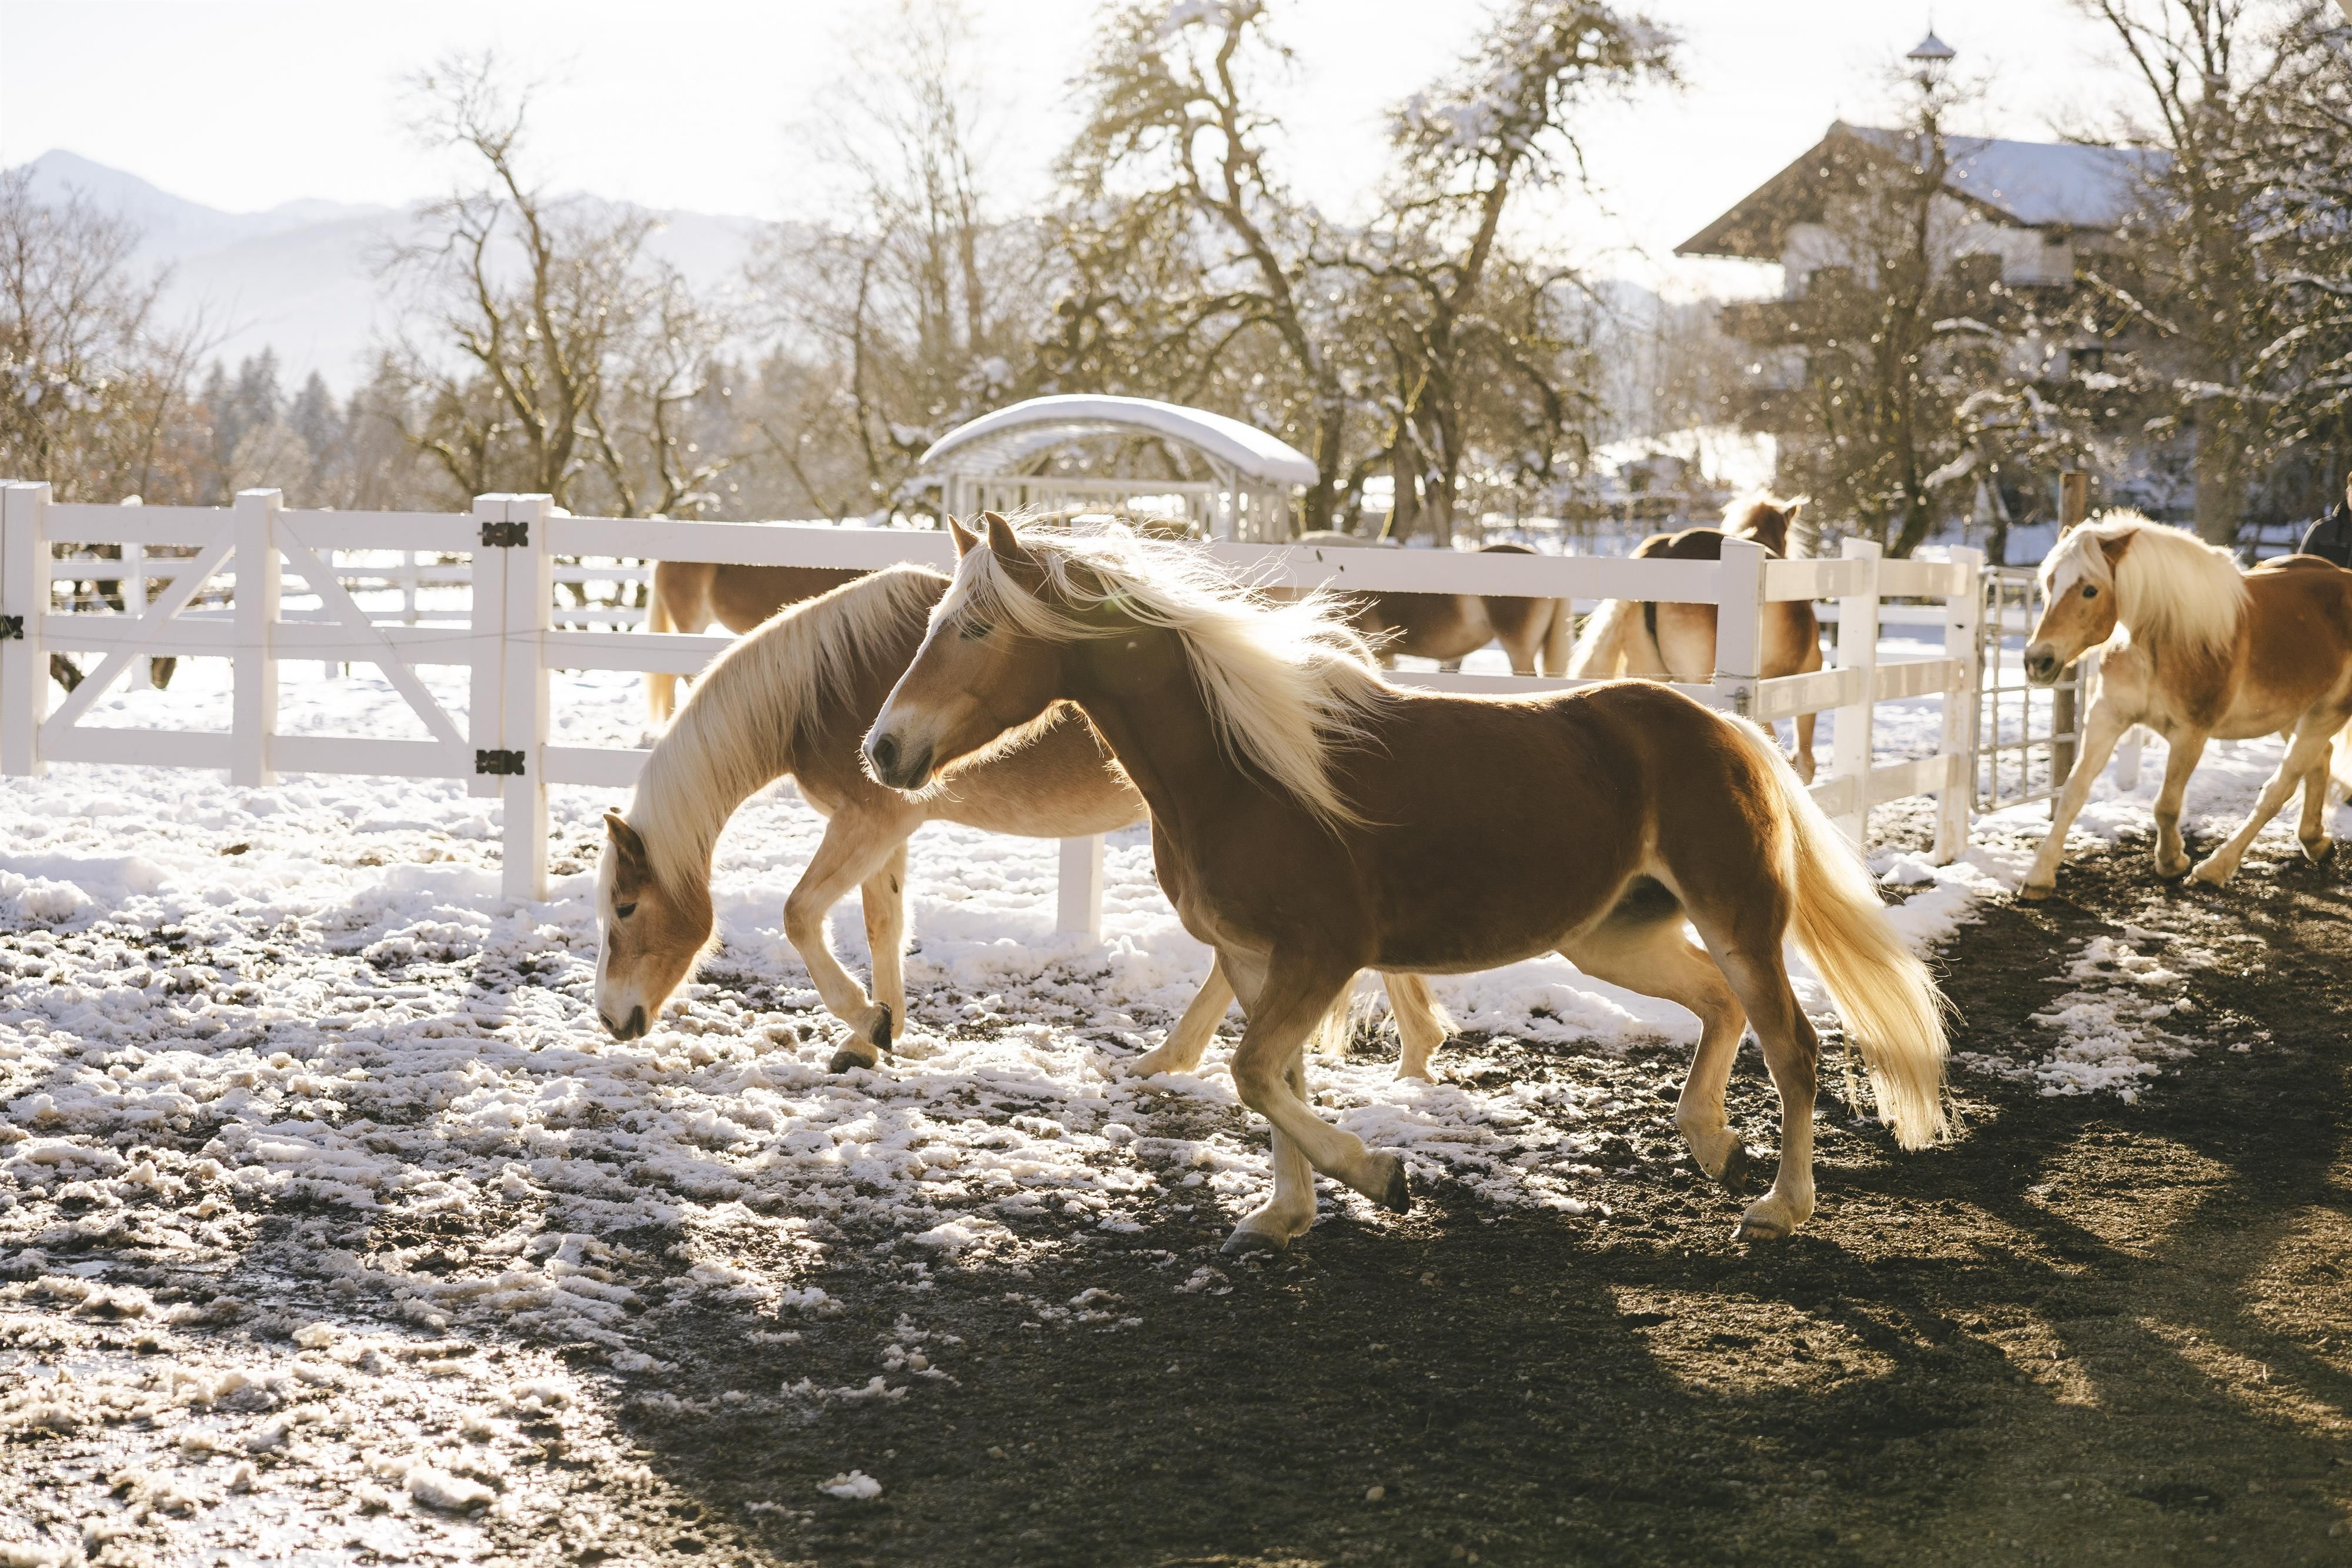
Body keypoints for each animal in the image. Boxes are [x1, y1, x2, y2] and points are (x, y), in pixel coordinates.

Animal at [596, 565, 1455, 1079]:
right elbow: (882, 926)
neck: (822, 684)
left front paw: (864, 1020)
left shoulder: (867, 821)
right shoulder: (885, 828)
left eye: (626, 909)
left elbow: (802, 914)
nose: (612, 1019)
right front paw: (875, 1034)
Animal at [2019, 511, 2352, 899]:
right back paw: (2315, 842)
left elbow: (2166, 805)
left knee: (2278, 789)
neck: (2162, 637)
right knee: (2321, 760)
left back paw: (2214, 868)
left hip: (2326, 714)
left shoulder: (2191, 734)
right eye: (2050, 583)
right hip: (2293, 714)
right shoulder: (2107, 716)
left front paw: (2172, 862)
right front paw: (2039, 875)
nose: (2037, 661)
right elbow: (2073, 791)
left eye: (2090, 590)